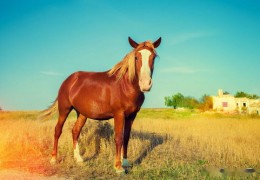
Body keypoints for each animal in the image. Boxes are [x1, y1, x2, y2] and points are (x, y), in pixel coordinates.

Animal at [41, 36, 160, 173]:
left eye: (153, 57)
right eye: (136, 57)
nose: (146, 84)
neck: (126, 86)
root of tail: (69, 79)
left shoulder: (132, 115)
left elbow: (126, 137)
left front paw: (125, 162)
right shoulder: (119, 114)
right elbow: (118, 138)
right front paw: (118, 167)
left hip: (82, 113)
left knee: (75, 131)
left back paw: (79, 159)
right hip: (64, 109)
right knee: (57, 130)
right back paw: (54, 159)